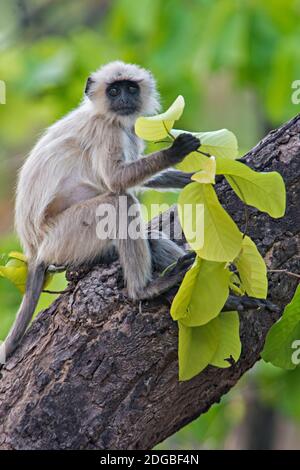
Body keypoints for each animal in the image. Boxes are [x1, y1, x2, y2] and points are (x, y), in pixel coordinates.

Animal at [2, 61, 200, 360]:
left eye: (130, 88)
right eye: (114, 90)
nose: (124, 99)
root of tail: (34, 251)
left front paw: (202, 176)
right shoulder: (106, 130)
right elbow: (116, 180)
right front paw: (176, 152)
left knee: (148, 236)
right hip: (65, 236)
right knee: (120, 202)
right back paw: (143, 290)